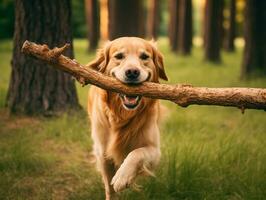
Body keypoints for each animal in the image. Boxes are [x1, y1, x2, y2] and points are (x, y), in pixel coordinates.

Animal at [86, 36, 167, 199]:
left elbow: (136, 153)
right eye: (119, 56)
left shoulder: (155, 151)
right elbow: (109, 187)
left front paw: (123, 176)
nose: (132, 72)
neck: (122, 116)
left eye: (144, 57)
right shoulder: (103, 153)